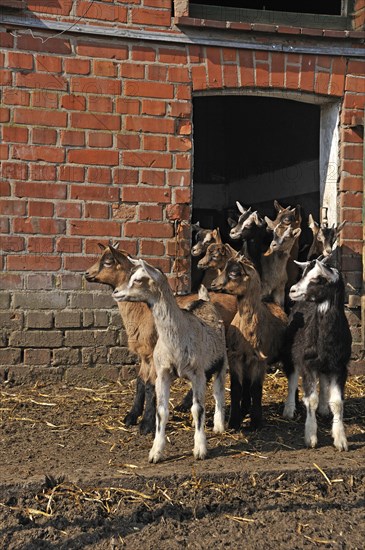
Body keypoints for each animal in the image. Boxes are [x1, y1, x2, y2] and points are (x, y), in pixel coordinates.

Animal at [113, 260, 228, 464]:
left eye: (139, 279)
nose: (116, 292)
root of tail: (203, 300)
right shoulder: (163, 374)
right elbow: (162, 411)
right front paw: (155, 452)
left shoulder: (197, 373)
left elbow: (198, 408)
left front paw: (200, 449)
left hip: (221, 360)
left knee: (218, 390)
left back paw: (219, 424)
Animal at [210, 256, 288, 434]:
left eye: (234, 272)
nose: (213, 284)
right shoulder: (236, 357)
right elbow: (237, 388)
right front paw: (234, 422)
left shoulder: (260, 359)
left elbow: (256, 389)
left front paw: (256, 422)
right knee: (245, 384)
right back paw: (244, 409)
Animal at [280, 256, 352, 450]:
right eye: (303, 274)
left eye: (317, 279)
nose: (292, 290)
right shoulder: (307, 363)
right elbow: (310, 400)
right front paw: (311, 437)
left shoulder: (340, 366)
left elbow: (337, 403)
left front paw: (340, 439)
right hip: (290, 353)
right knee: (292, 379)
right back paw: (289, 409)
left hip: (326, 364)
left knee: (324, 381)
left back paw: (324, 408)